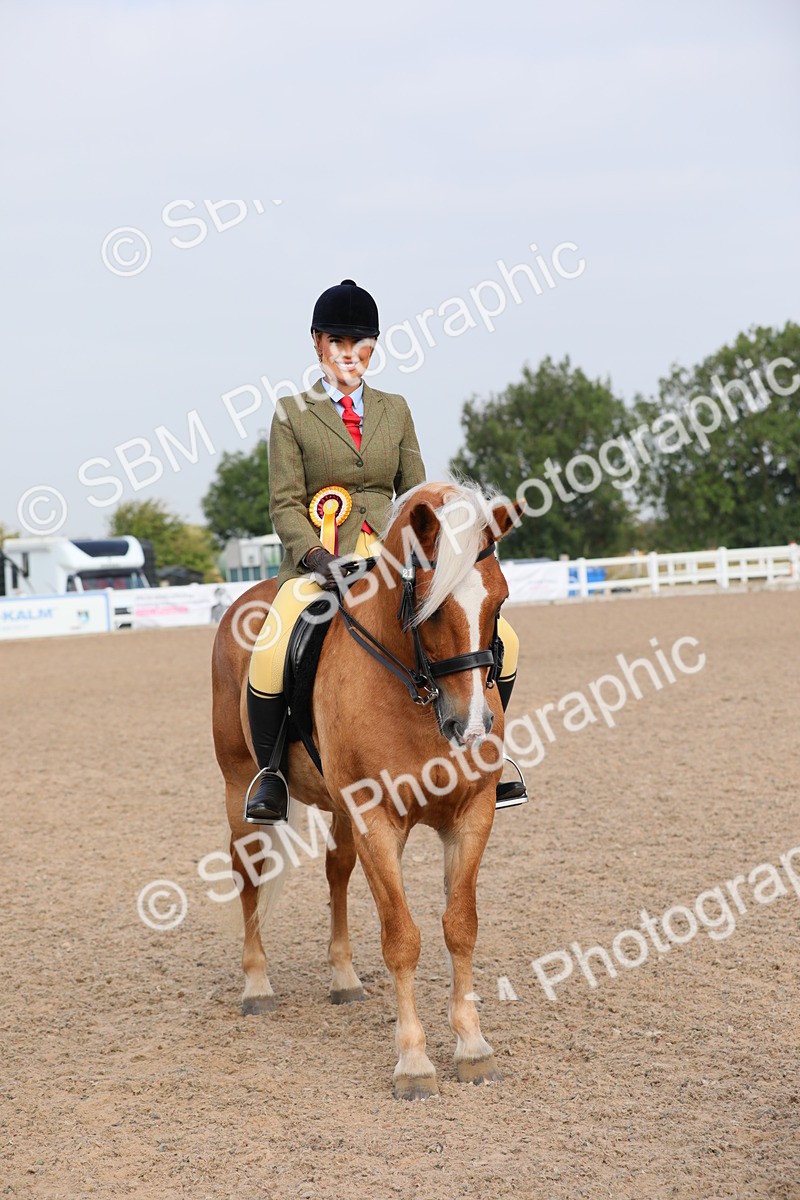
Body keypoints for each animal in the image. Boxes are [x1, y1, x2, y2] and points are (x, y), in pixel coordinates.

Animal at [211, 481, 524, 1100]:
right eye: (431, 606)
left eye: (497, 603)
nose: (473, 728)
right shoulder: (377, 818)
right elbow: (402, 937)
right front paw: (414, 1063)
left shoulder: (471, 815)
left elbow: (461, 927)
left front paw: (473, 1048)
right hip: (239, 789)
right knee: (248, 873)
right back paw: (256, 986)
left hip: (339, 808)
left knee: (336, 872)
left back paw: (344, 978)